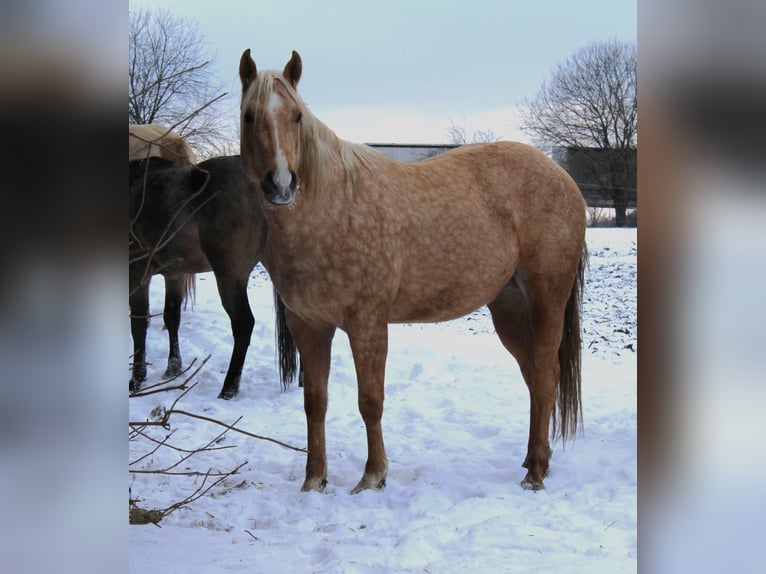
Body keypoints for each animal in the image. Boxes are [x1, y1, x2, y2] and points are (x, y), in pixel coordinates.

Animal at [129, 154, 298, 398]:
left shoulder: (137, 272)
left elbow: (139, 324)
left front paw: (137, 379)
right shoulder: (175, 274)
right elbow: (171, 317)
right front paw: (173, 368)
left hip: (229, 276)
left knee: (243, 324)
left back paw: (229, 388)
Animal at [238, 49, 587, 493]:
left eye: (298, 116)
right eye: (249, 116)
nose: (281, 185)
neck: (331, 208)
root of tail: (563, 178)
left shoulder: (367, 324)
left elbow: (370, 401)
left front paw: (373, 476)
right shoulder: (309, 325)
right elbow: (315, 403)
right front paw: (314, 480)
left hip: (547, 298)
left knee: (545, 374)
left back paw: (537, 472)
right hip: (509, 307)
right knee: (533, 379)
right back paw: (532, 460)